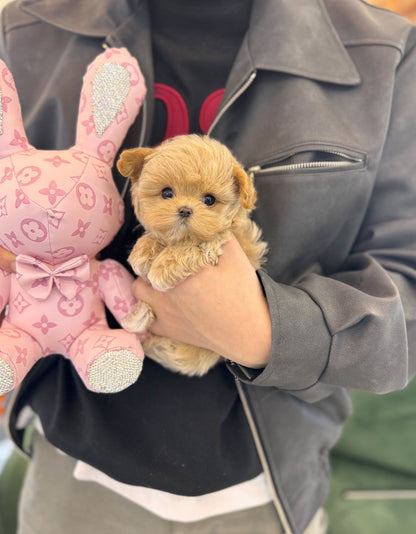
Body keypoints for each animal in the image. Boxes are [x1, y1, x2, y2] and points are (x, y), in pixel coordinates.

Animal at [117, 134, 266, 376]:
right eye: (167, 193)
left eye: (209, 200)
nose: (185, 210)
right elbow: (156, 237)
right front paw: (144, 252)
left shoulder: (224, 238)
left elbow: (197, 244)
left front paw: (161, 268)